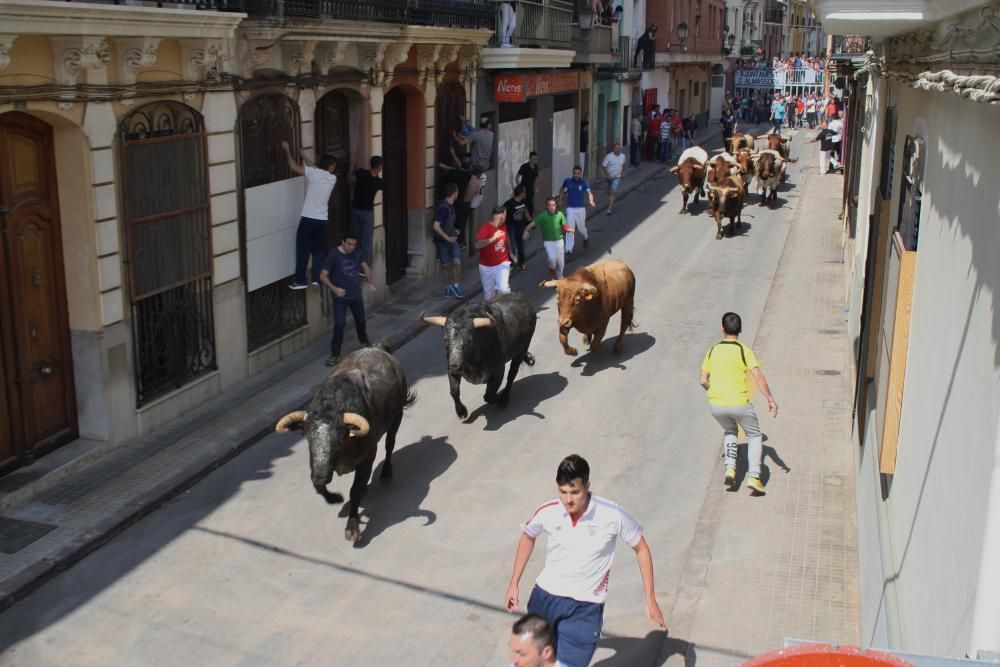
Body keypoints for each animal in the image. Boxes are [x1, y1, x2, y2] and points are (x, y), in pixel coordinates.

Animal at [274, 344, 414, 544]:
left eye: (339, 438)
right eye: (308, 437)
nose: (320, 477)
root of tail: (379, 349)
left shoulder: (367, 457)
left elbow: (355, 490)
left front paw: (352, 527)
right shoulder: (317, 463)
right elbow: (321, 488)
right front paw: (334, 498)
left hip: (396, 418)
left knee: (390, 445)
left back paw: (386, 475)